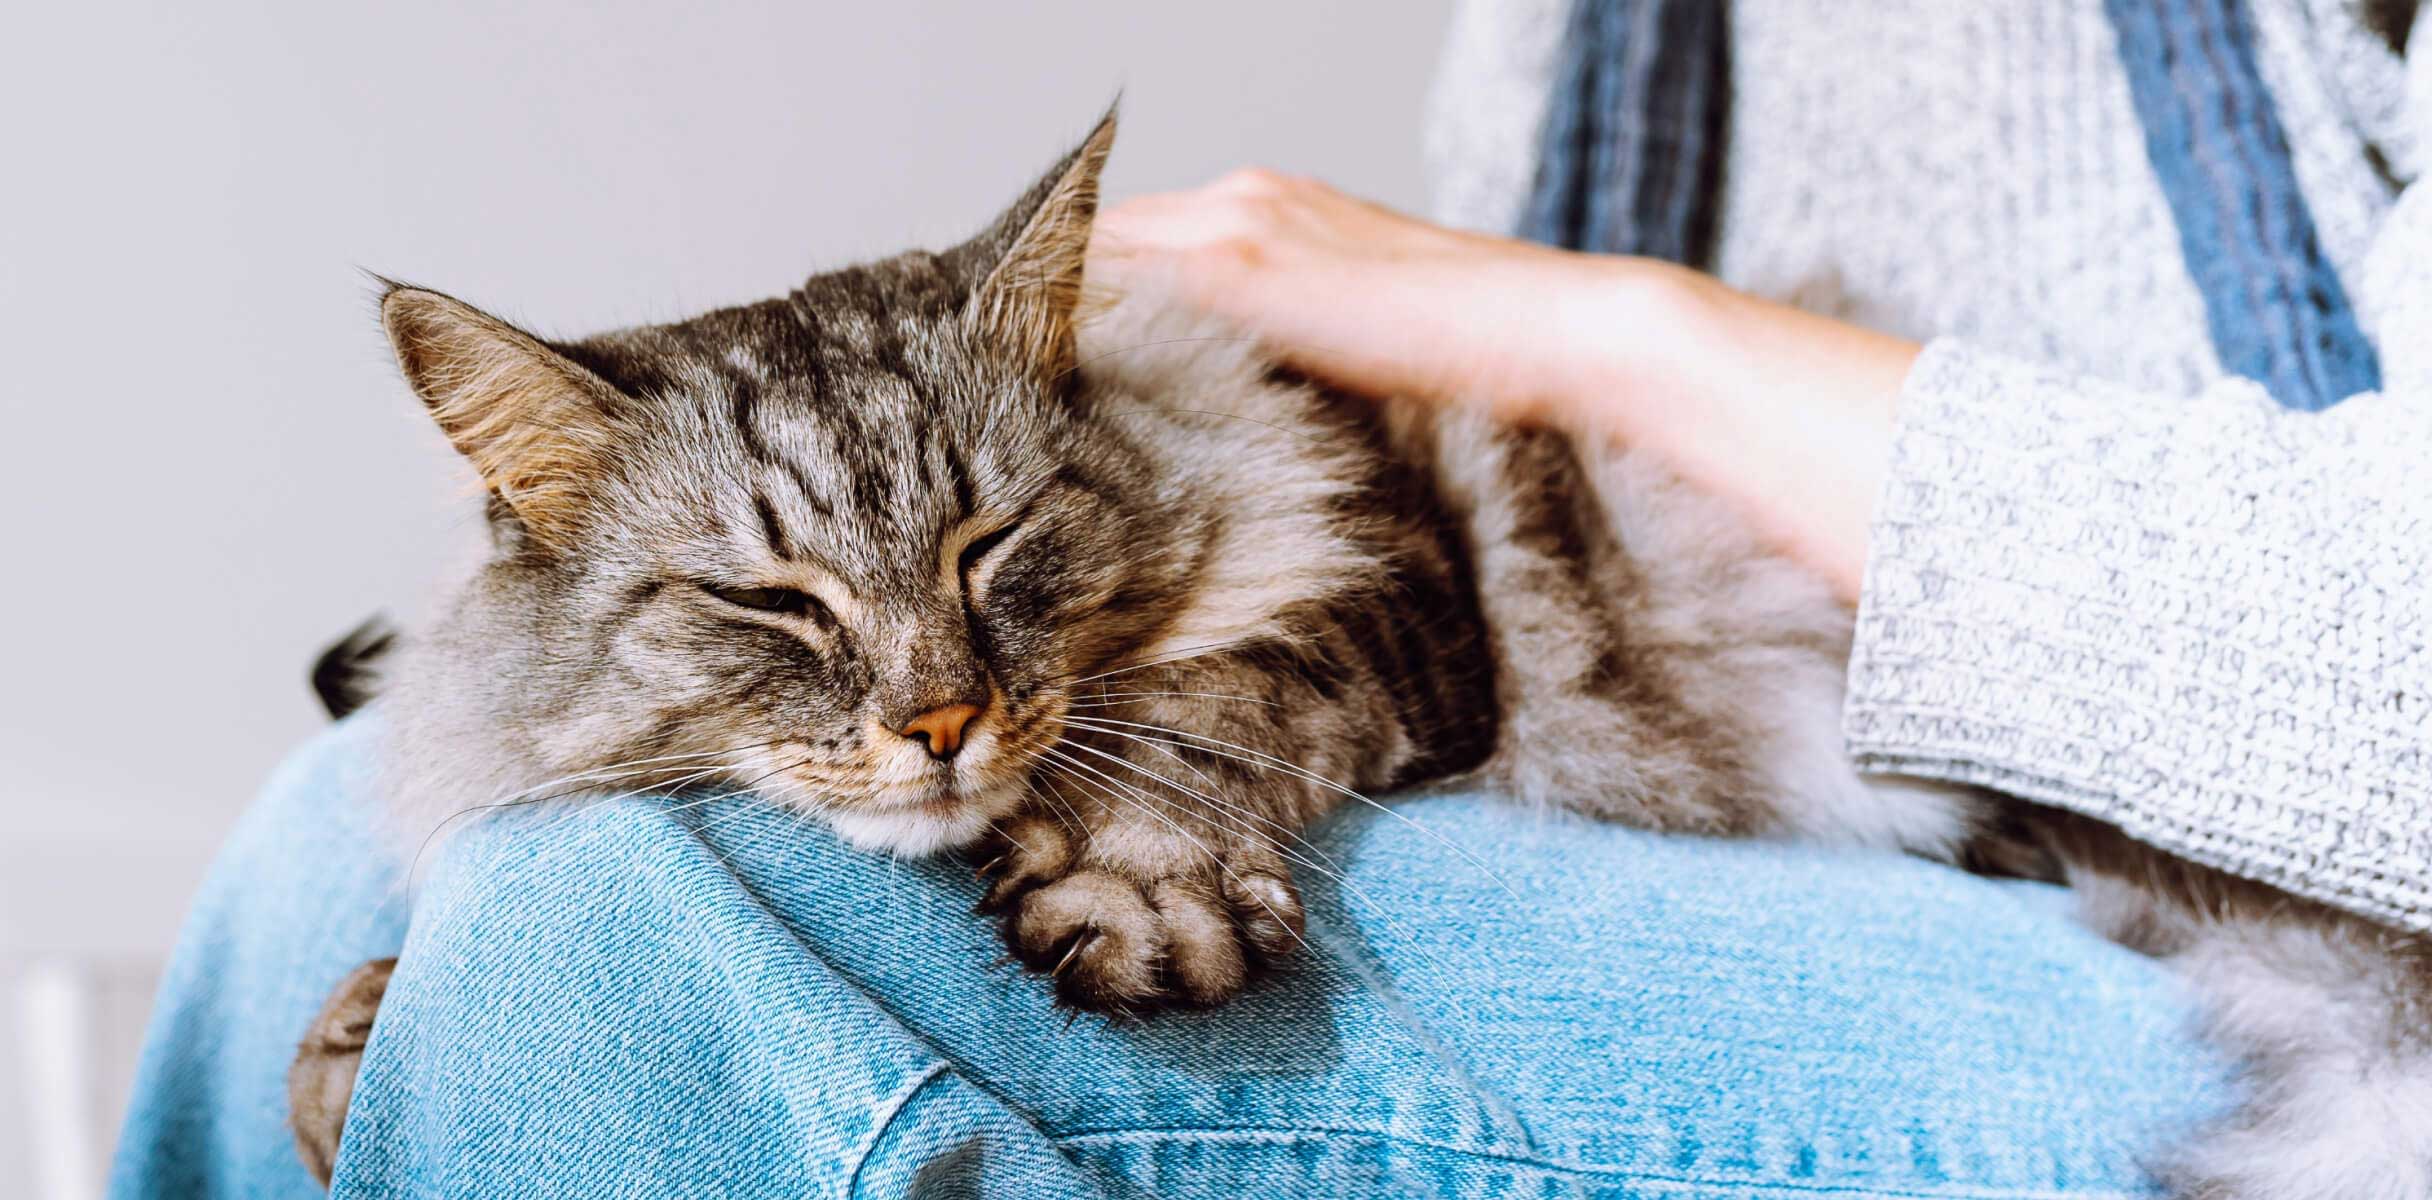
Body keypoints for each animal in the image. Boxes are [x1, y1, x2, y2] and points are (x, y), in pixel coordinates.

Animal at [294, 114, 2432, 1197]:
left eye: (992, 543)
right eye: (773, 607)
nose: (940, 718)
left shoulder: (1394, 573)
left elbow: (1198, 711)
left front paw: (1132, 891)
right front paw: (345, 1042)